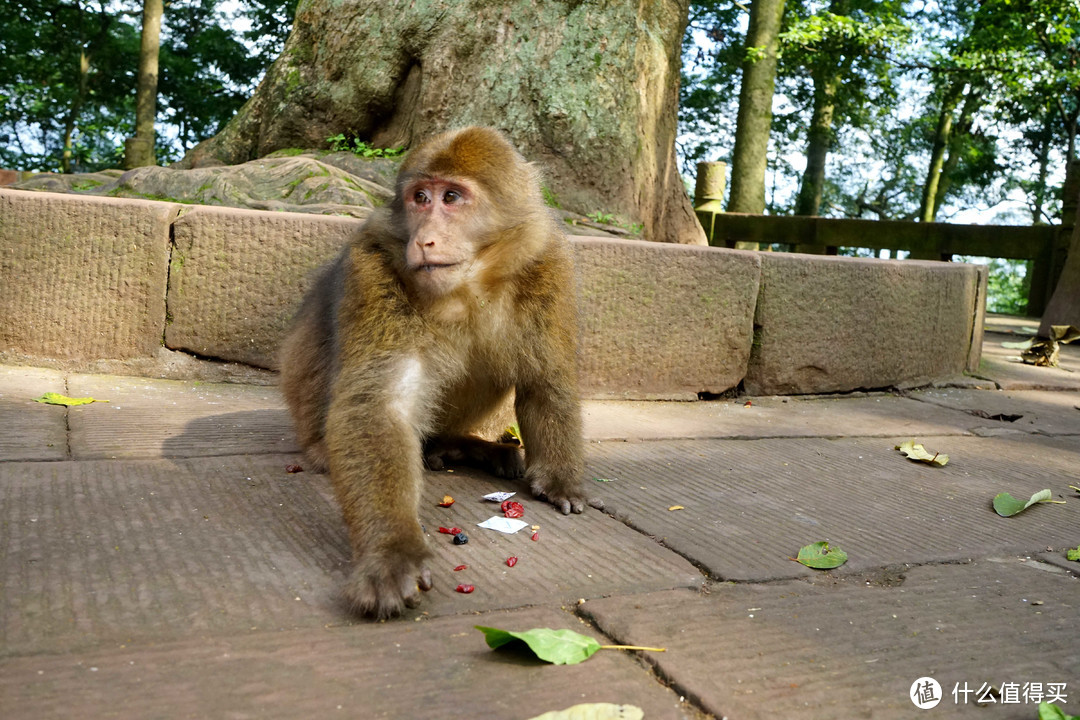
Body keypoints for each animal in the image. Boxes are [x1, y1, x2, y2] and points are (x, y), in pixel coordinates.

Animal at [278, 127, 583, 621]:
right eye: (420, 197)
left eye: (452, 197)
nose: (425, 240)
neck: (471, 285)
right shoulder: (373, 266)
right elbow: (381, 401)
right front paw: (392, 552)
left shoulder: (548, 262)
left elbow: (545, 377)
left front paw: (559, 478)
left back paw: (463, 446)